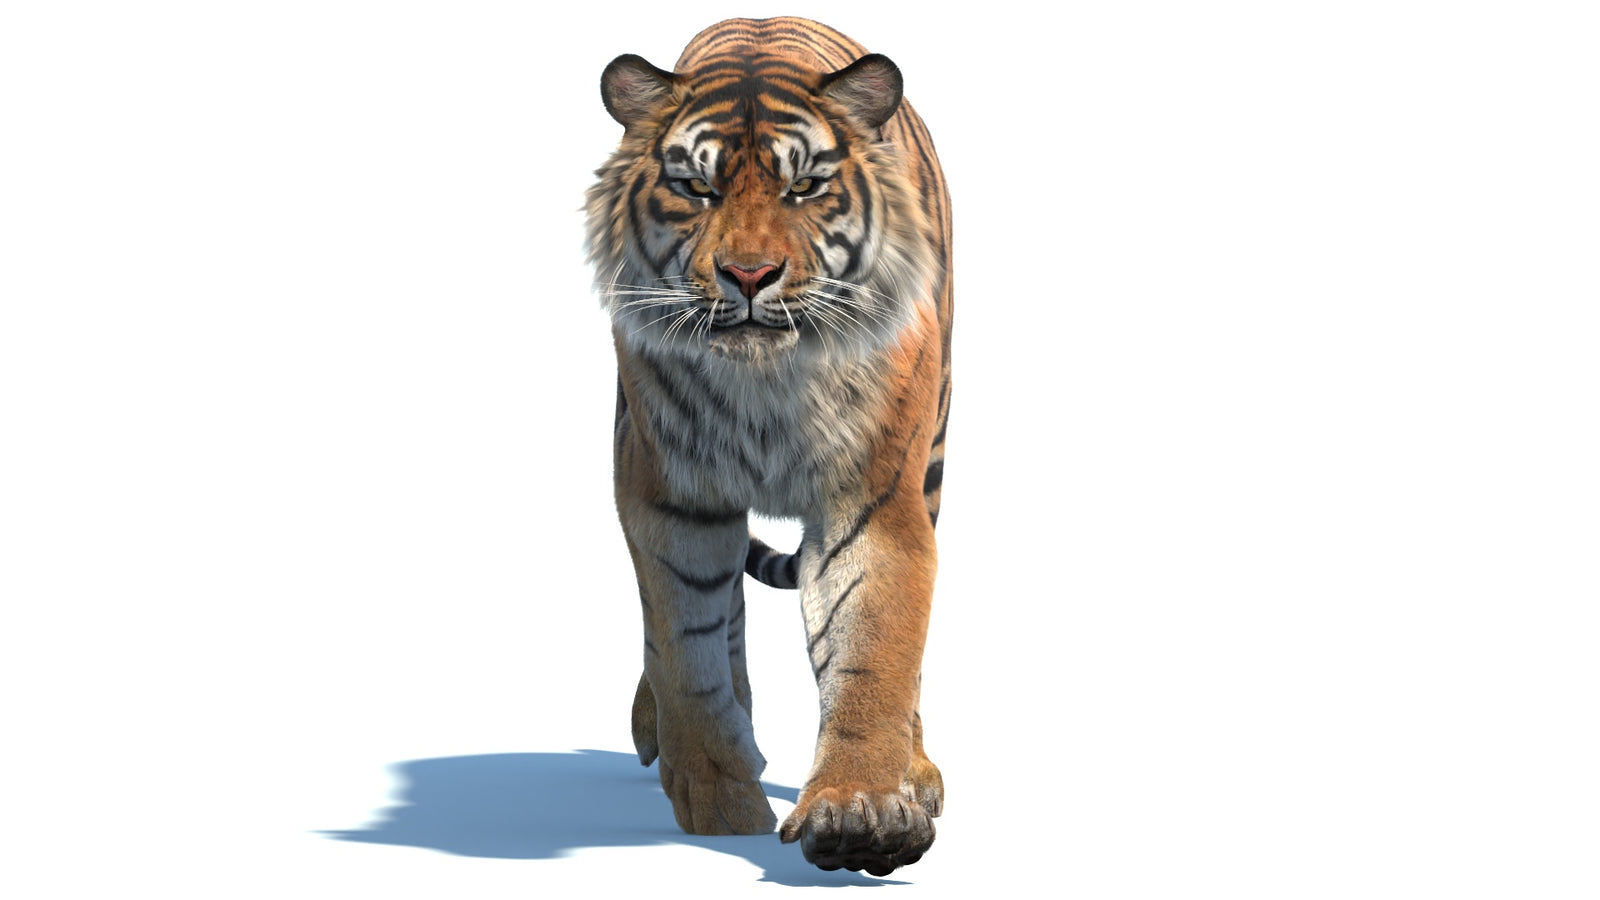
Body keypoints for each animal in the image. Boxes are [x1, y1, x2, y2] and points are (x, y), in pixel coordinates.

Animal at [584, 17, 953, 876]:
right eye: (696, 189)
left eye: (805, 187)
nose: (749, 275)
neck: (766, 384)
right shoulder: (670, 499)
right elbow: (687, 652)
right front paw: (719, 800)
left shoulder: (873, 500)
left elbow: (876, 649)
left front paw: (860, 809)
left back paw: (917, 769)